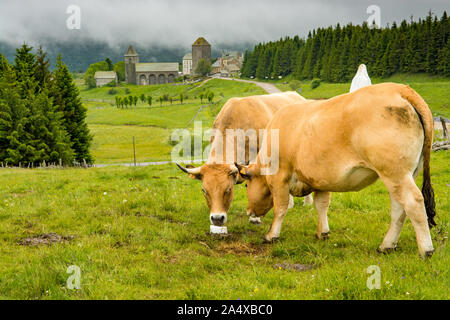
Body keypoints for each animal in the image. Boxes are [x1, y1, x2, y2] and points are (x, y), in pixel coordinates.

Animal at [237, 82, 438, 258]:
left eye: (247, 185)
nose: (248, 211)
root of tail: (401, 89)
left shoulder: (279, 177)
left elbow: (281, 207)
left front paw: (272, 235)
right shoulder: (320, 180)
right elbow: (322, 205)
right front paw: (323, 232)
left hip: (396, 173)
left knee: (413, 203)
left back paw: (426, 250)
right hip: (405, 174)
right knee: (398, 208)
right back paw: (387, 245)